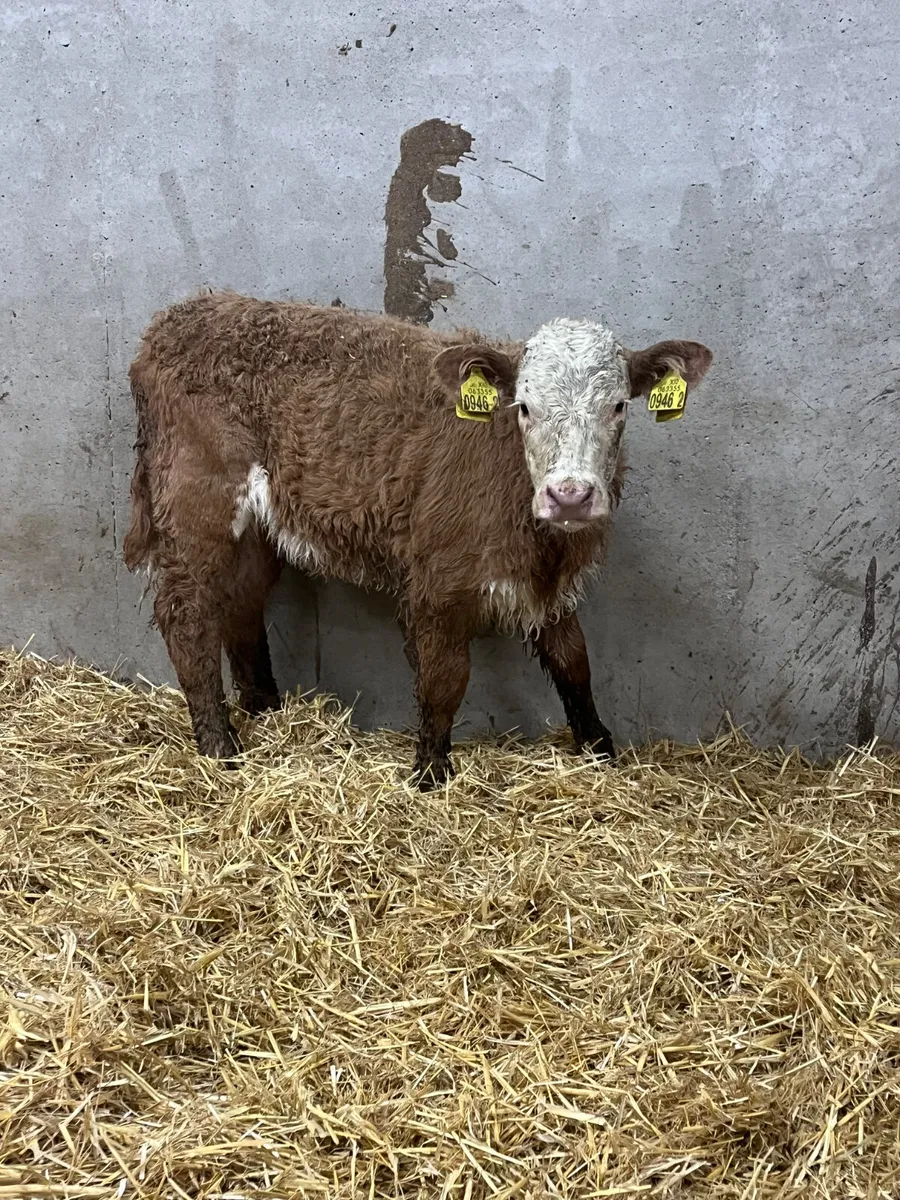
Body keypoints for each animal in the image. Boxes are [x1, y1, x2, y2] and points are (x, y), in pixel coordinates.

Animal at [123, 292, 712, 788]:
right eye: (524, 406)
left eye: (619, 406)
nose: (569, 496)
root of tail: (177, 317)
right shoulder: (437, 581)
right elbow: (444, 677)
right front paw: (430, 772)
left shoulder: (549, 583)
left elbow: (574, 662)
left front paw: (599, 747)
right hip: (197, 499)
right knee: (187, 612)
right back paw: (220, 744)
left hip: (255, 528)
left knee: (242, 601)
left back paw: (264, 708)